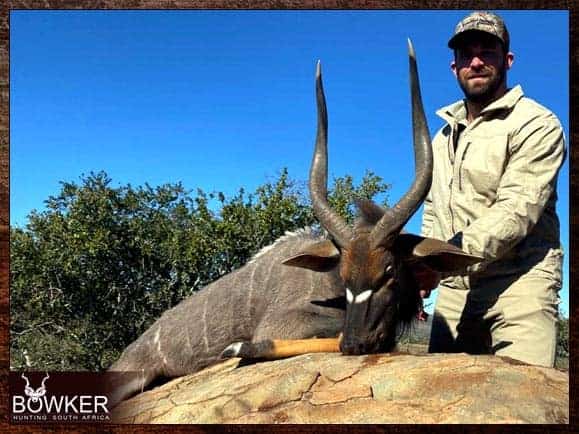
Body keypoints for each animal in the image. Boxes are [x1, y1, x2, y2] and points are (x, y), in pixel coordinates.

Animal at [109, 40, 480, 404]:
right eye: (344, 273)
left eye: (389, 271)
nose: (355, 344)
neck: (328, 281)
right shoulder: (285, 324)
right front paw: (239, 347)